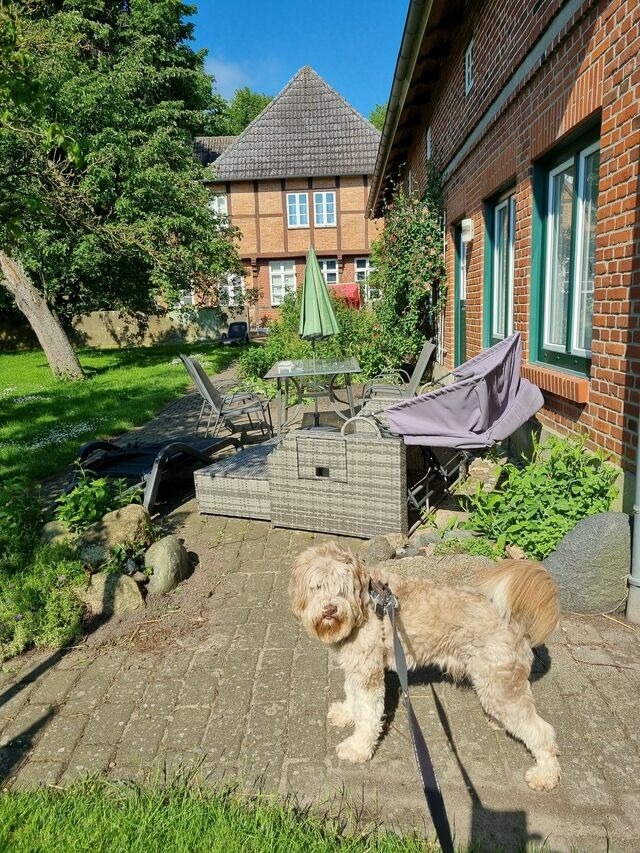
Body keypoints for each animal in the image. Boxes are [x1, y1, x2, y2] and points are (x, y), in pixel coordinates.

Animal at [290, 544, 560, 788]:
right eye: (317, 587)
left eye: (342, 588)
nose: (330, 609)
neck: (366, 607)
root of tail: (514, 621)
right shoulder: (357, 666)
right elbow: (351, 694)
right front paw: (346, 712)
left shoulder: (369, 674)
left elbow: (367, 715)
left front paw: (357, 748)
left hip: (500, 687)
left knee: (541, 731)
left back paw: (544, 774)